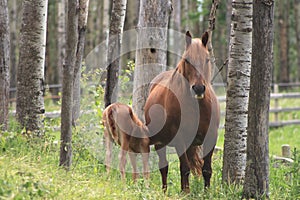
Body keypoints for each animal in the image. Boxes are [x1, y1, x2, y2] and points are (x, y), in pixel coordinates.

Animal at [144, 31, 219, 192]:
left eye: (207, 59)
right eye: (187, 60)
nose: (198, 88)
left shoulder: (211, 137)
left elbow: (206, 169)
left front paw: (207, 192)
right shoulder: (180, 140)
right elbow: (184, 168)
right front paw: (185, 192)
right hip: (160, 143)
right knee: (163, 167)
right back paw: (164, 191)